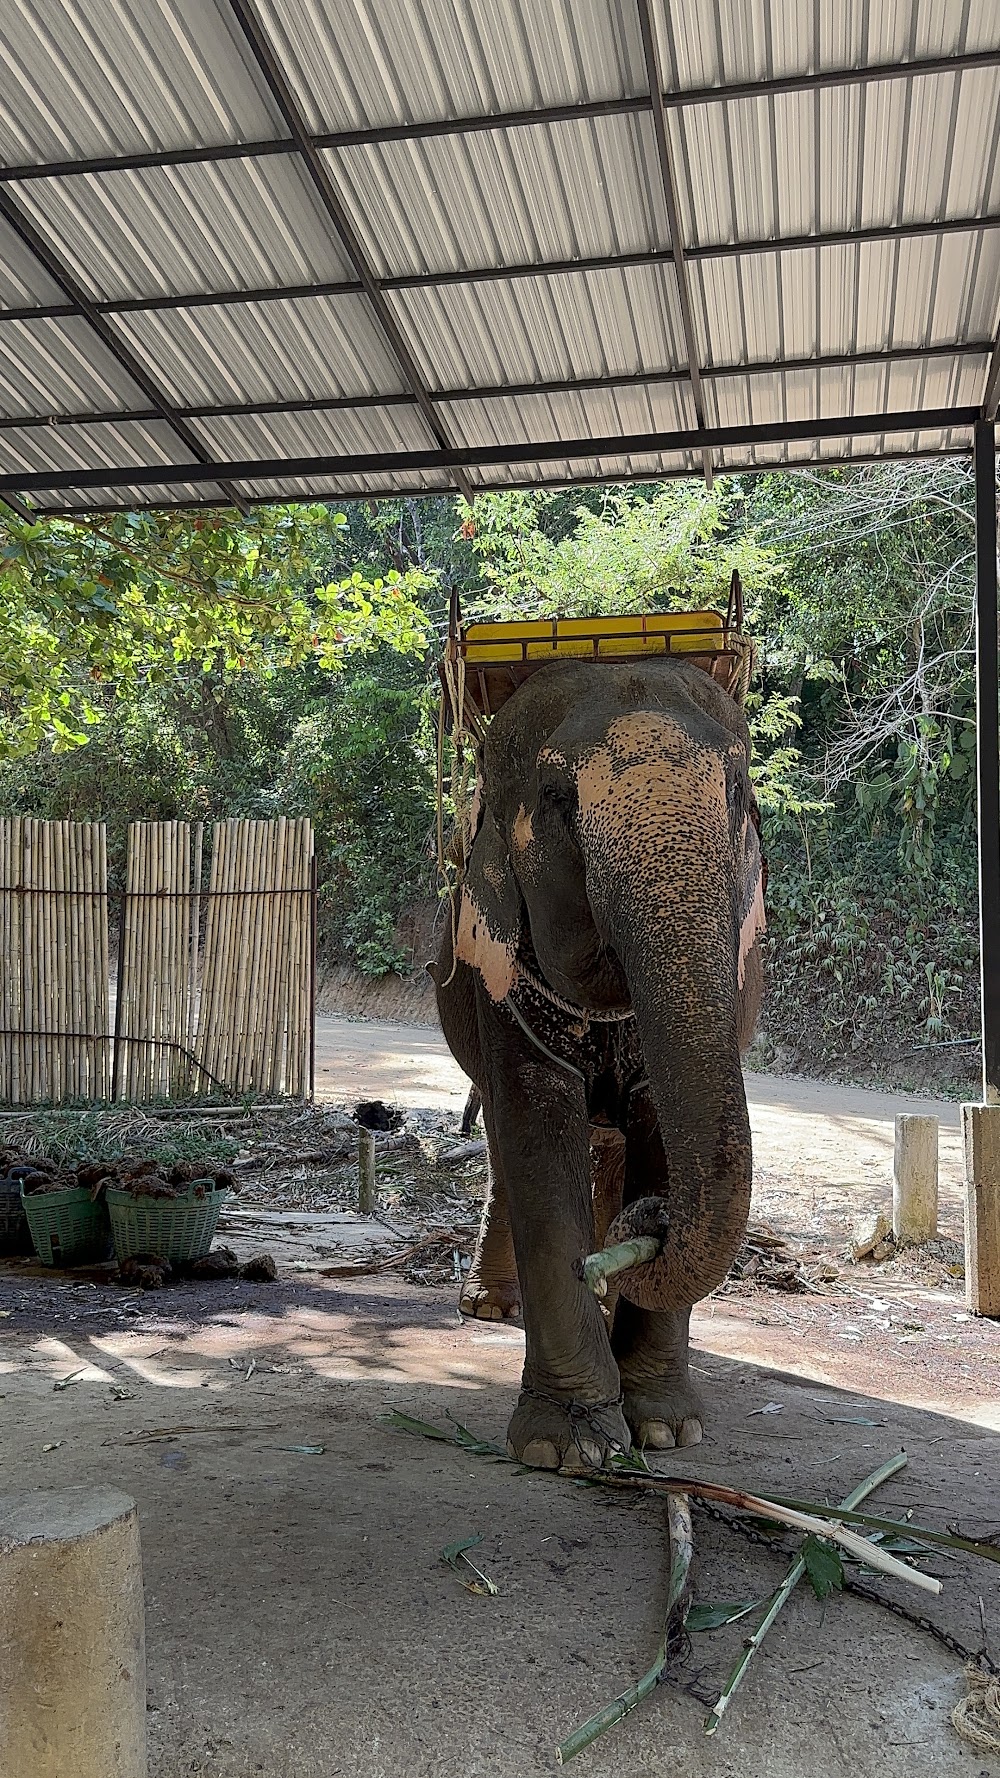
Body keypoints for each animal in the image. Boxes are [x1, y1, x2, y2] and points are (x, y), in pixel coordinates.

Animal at [428, 654, 761, 1472]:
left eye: (738, 791)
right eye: (556, 800)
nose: (654, 1223)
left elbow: (656, 1128)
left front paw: (668, 1431)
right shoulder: (501, 973)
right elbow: (538, 1134)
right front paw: (566, 1446)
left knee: (607, 1146)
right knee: (508, 1150)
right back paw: (492, 1305)